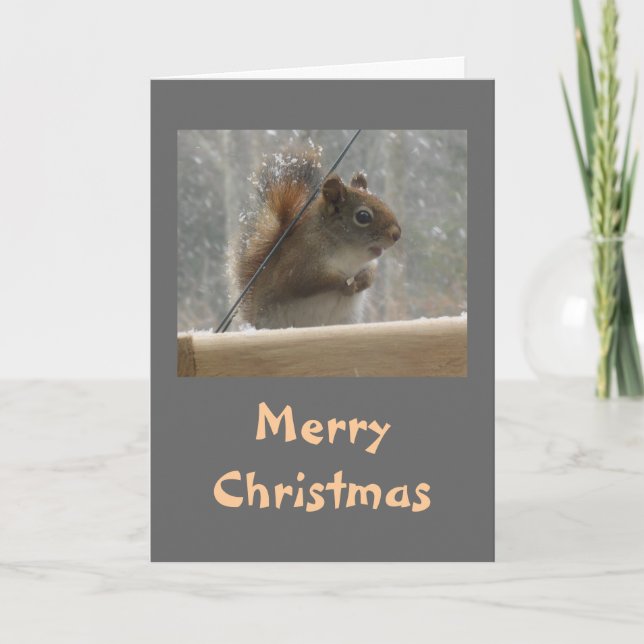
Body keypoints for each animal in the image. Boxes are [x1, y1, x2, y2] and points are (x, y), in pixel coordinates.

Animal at [233, 148, 401, 330]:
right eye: (363, 216)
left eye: (382, 202)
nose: (397, 234)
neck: (349, 253)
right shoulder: (299, 262)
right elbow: (307, 281)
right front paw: (344, 283)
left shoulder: (368, 263)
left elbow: (371, 272)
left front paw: (362, 281)